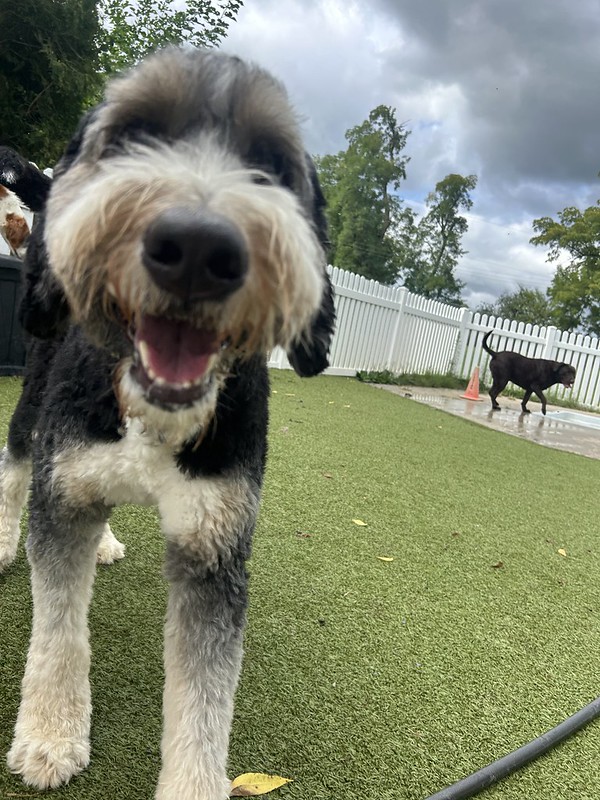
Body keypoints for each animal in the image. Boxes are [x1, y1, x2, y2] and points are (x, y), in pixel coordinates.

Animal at [0, 48, 336, 800]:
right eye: (132, 136)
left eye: (270, 163)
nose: (197, 248)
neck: (149, 416)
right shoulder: (61, 498)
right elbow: (57, 632)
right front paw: (50, 736)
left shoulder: (213, 548)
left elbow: (204, 696)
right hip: (34, 396)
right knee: (12, 466)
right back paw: (2, 541)